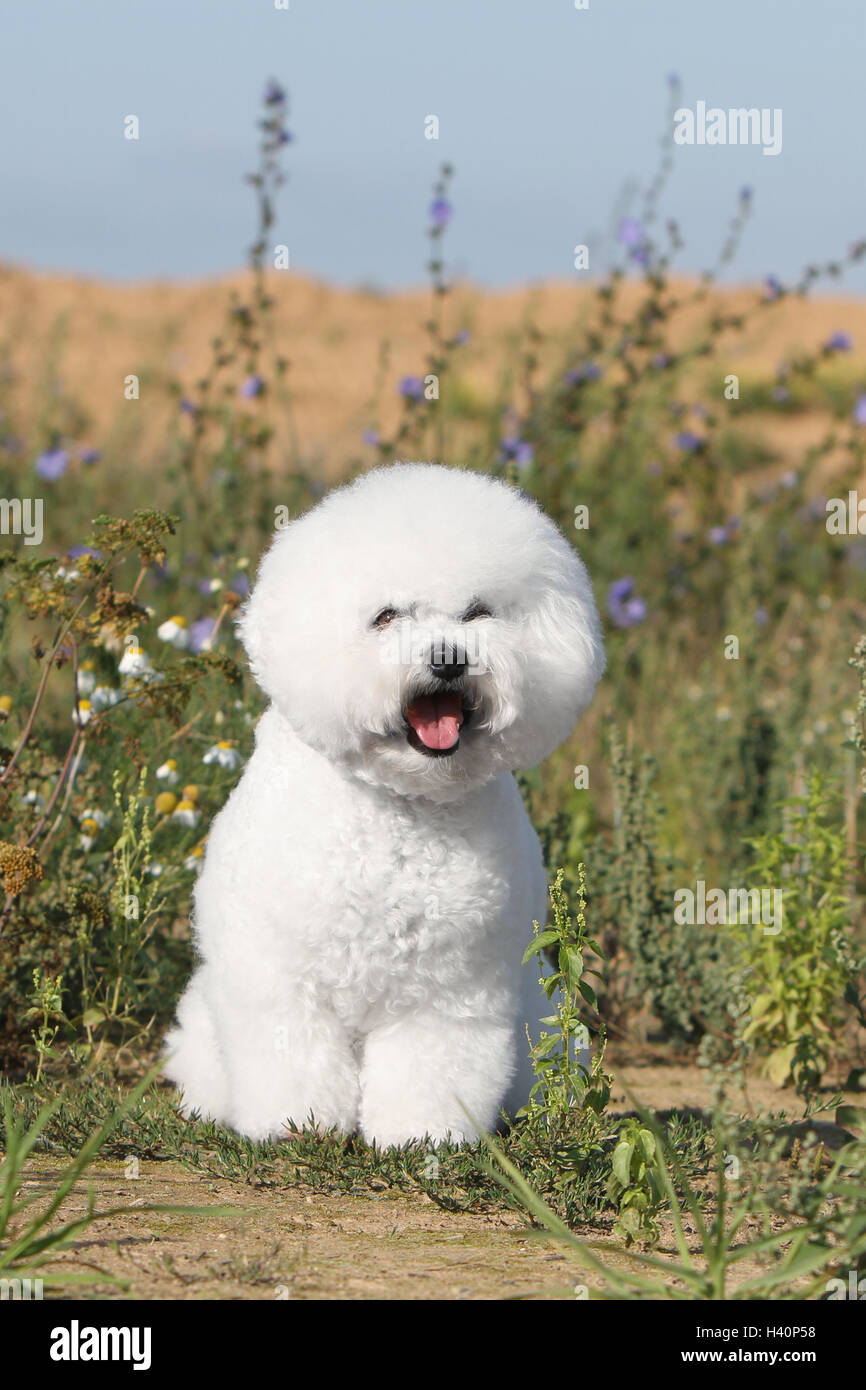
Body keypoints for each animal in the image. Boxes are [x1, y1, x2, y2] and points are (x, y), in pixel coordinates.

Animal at [166, 461, 606, 1145]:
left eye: (479, 613)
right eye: (386, 616)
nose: (448, 658)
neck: (402, 805)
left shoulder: (450, 989)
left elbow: (431, 1067)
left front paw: (419, 1136)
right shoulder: (282, 979)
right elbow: (292, 1058)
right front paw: (298, 1124)